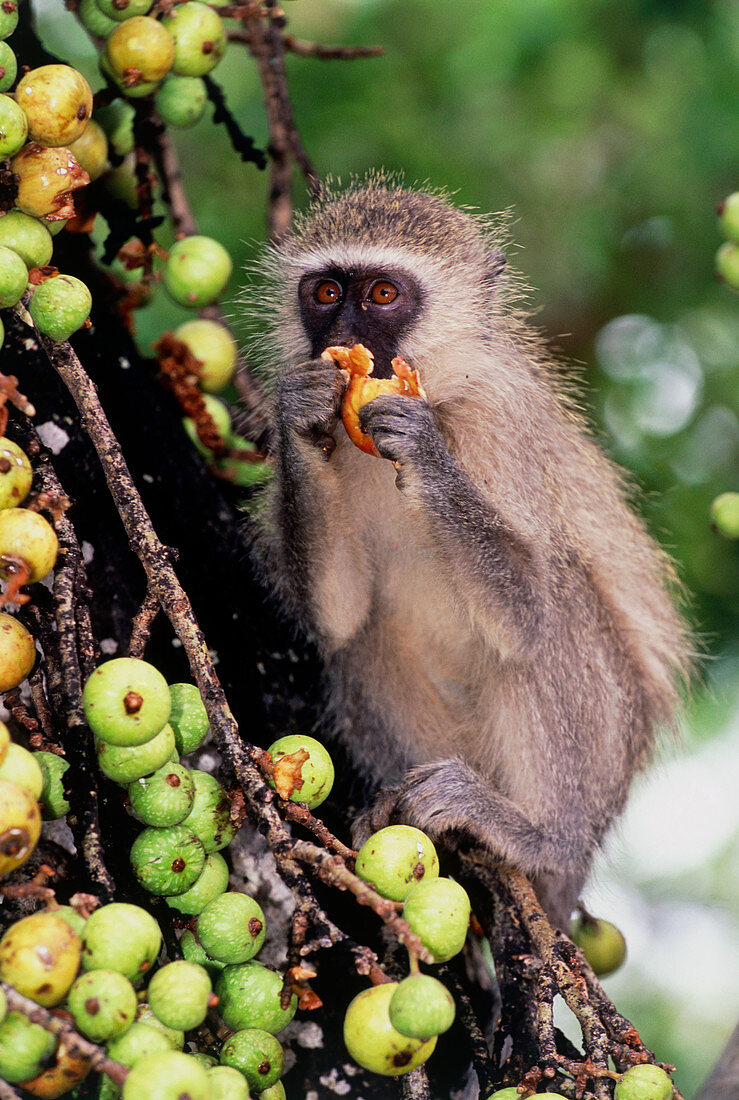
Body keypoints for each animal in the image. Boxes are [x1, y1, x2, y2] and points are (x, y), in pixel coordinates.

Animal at [250, 180, 690, 928]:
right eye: (326, 292)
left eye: (382, 295)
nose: (340, 341)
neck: (442, 390)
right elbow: (338, 614)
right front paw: (302, 408)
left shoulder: (497, 424)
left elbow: (527, 612)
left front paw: (423, 448)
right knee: (366, 635)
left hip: (594, 770)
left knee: (559, 607)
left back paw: (537, 835)